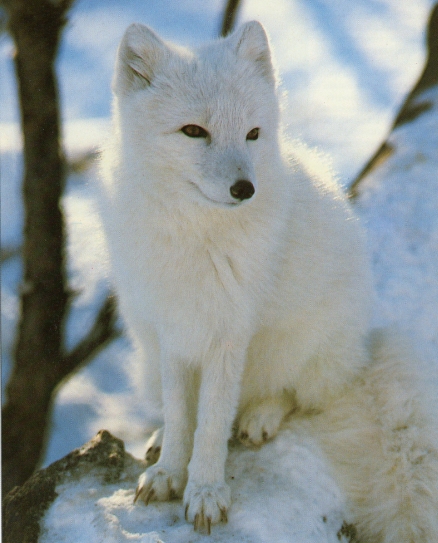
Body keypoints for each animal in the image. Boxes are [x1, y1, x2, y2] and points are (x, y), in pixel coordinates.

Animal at [99, 20, 438, 540]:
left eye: (253, 134)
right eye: (194, 131)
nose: (246, 189)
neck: (195, 236)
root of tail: (362, 351)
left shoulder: (228, 332)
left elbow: (213, 422)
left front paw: (205, 491)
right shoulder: (174, 329)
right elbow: (181, 412)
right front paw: (170, 471)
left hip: (297, 346)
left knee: (292, 396)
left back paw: (260, 416)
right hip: (147, 356)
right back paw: (160, 437)